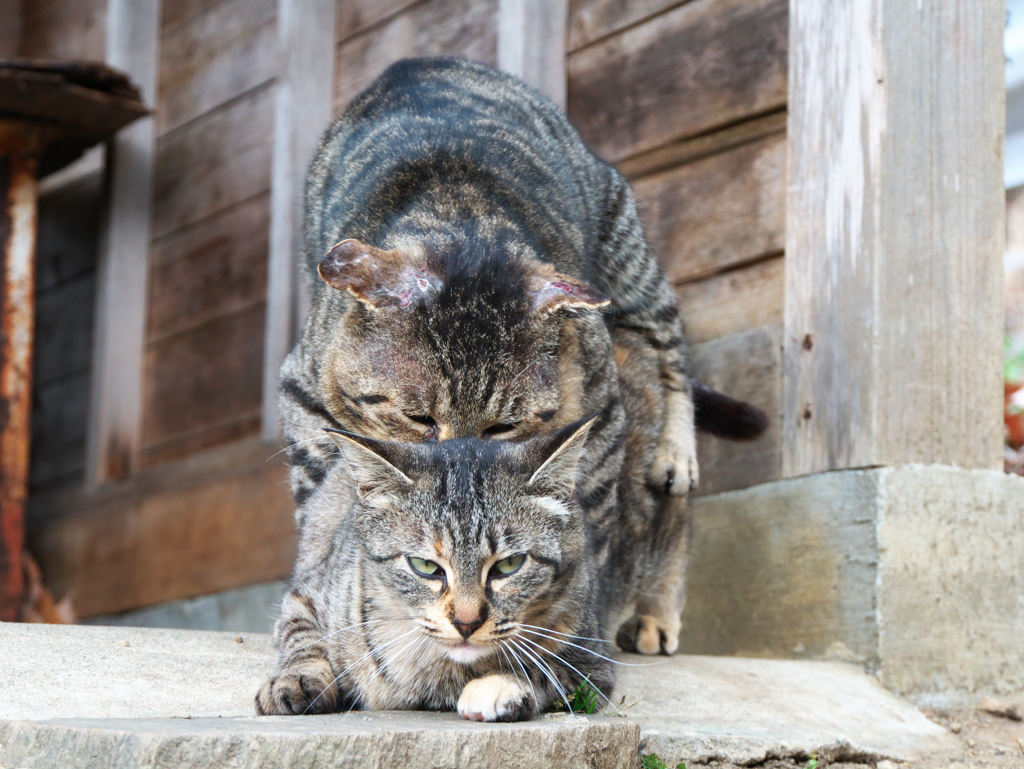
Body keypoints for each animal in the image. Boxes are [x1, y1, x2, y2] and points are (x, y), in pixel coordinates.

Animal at [256, 58, 765, 720]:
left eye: (503, 425)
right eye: (419, 420)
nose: (461, 457)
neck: (462, 221)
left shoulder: (601, 410)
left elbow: (589, 538)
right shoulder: (304, 393)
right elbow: (319, 516)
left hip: (628, 262)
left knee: (670, 360)